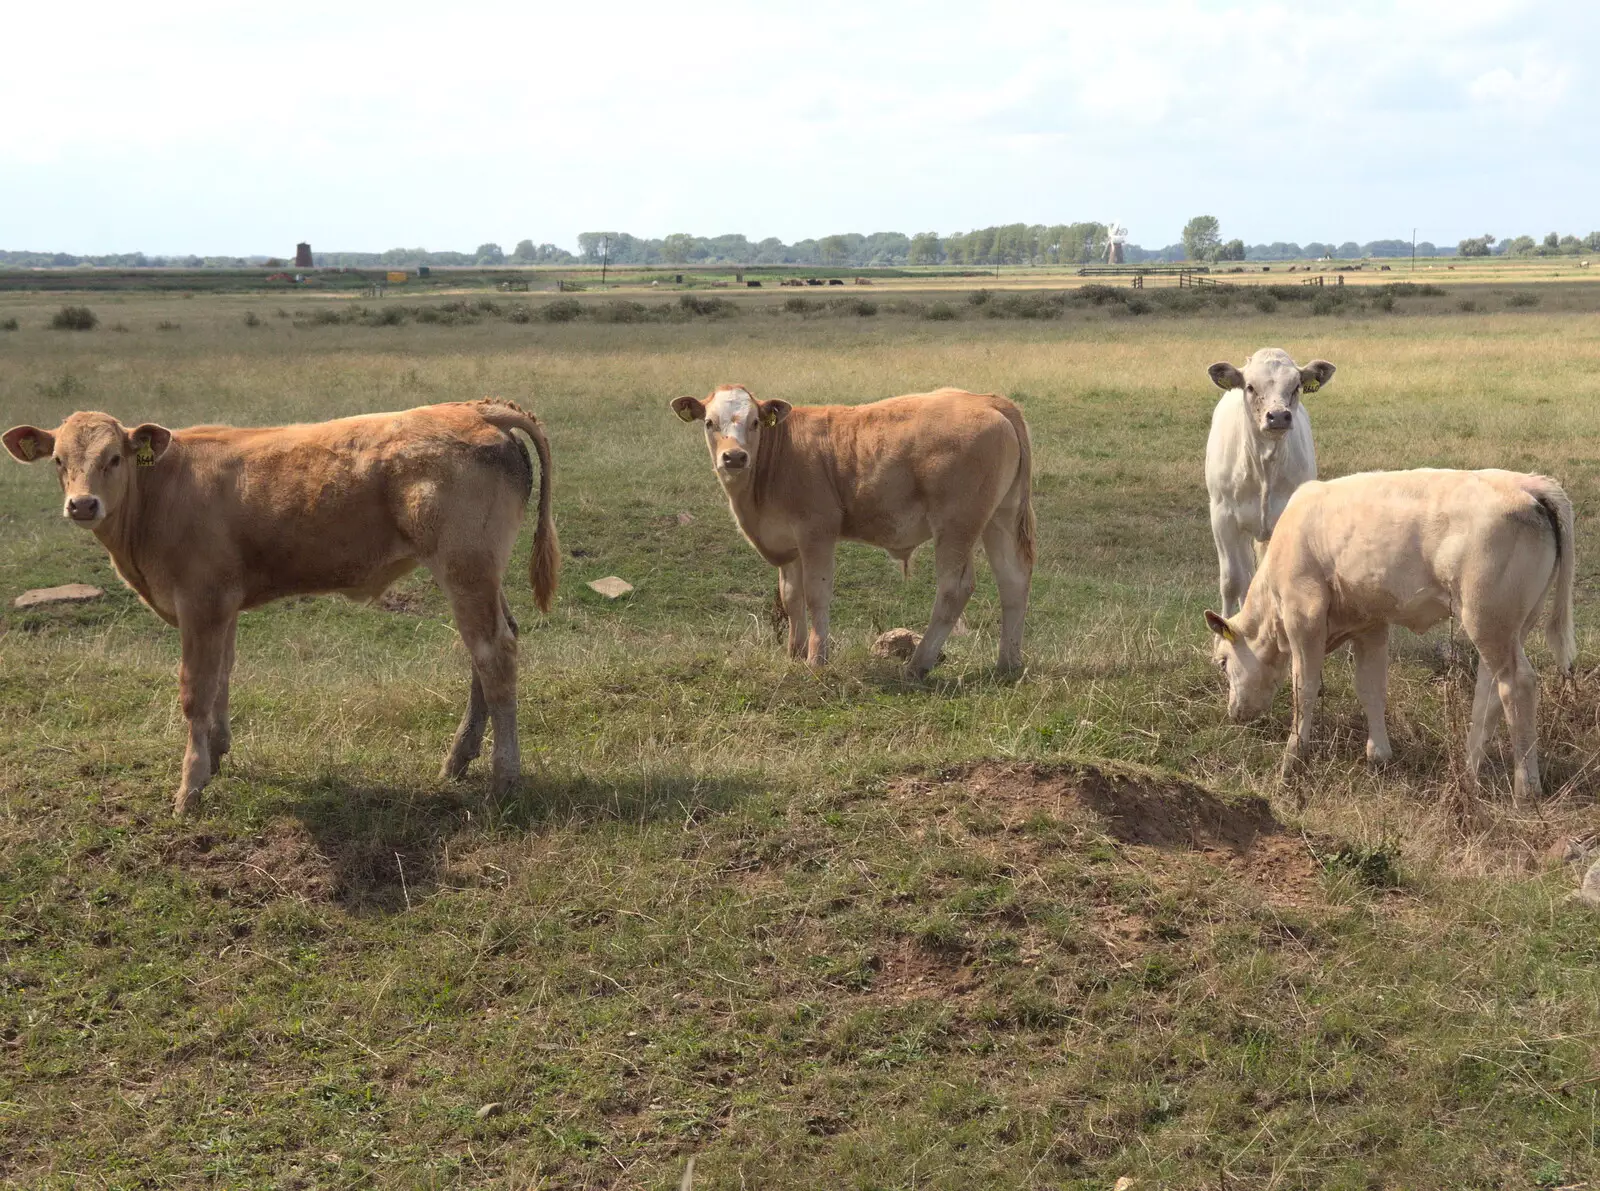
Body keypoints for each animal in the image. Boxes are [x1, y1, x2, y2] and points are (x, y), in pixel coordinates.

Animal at [3, 400, 560, 819]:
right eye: (59, 460)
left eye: (114, 457)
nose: (83, 504)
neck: (161, 493)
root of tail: (477, 409)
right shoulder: (222, 604)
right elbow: (223, 674)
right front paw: (217, 752)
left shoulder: (200, 602)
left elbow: (195, 689)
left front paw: (189, 787)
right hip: (477, 574)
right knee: (490, 648)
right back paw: (457, 761)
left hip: (465, 568)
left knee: (494, 655)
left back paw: (503, 779)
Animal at [665, 385, 1030, 675]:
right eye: (709, 423)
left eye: (754, 422)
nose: (735, 457)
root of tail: (986, 400)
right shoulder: (787, 543)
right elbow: (791, 596)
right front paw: (795, 653)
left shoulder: (816, 532)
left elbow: (816, 594)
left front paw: (816, 659)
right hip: (1000, 518)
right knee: (1013, 582)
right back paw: (1008, 664)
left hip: (956, 525)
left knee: (954, 589)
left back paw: (918, 664)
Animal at [1203, 347, 1331, 614]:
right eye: (1250, 386)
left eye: (1296, 386)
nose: (1279, 416)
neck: (1263, 467)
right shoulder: (1222, 517)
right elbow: (1231, 581)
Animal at [1209, 467, 1574, 800]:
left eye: (1223, 662)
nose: (1233, 713)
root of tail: (1528, 484)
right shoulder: (1371, 624)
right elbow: (1371, 688)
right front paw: (1379, 755)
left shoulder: (1304, 616)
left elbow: (1305, 689)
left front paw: (1292, 762)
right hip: (1510, 626)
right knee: (1490, 693)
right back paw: (1469, 773)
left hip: (1488, 621)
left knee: (1517, 684)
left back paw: (1526, 789)